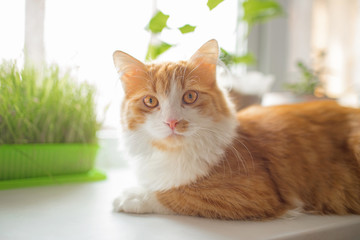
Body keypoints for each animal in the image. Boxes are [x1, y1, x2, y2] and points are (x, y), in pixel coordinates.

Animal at [112, 39, 360, 219]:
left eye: (190, 97)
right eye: (150, 101)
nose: (172, 122)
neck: (173, 154)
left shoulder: (250, 193)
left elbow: (173, 193)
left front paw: (131, 197)